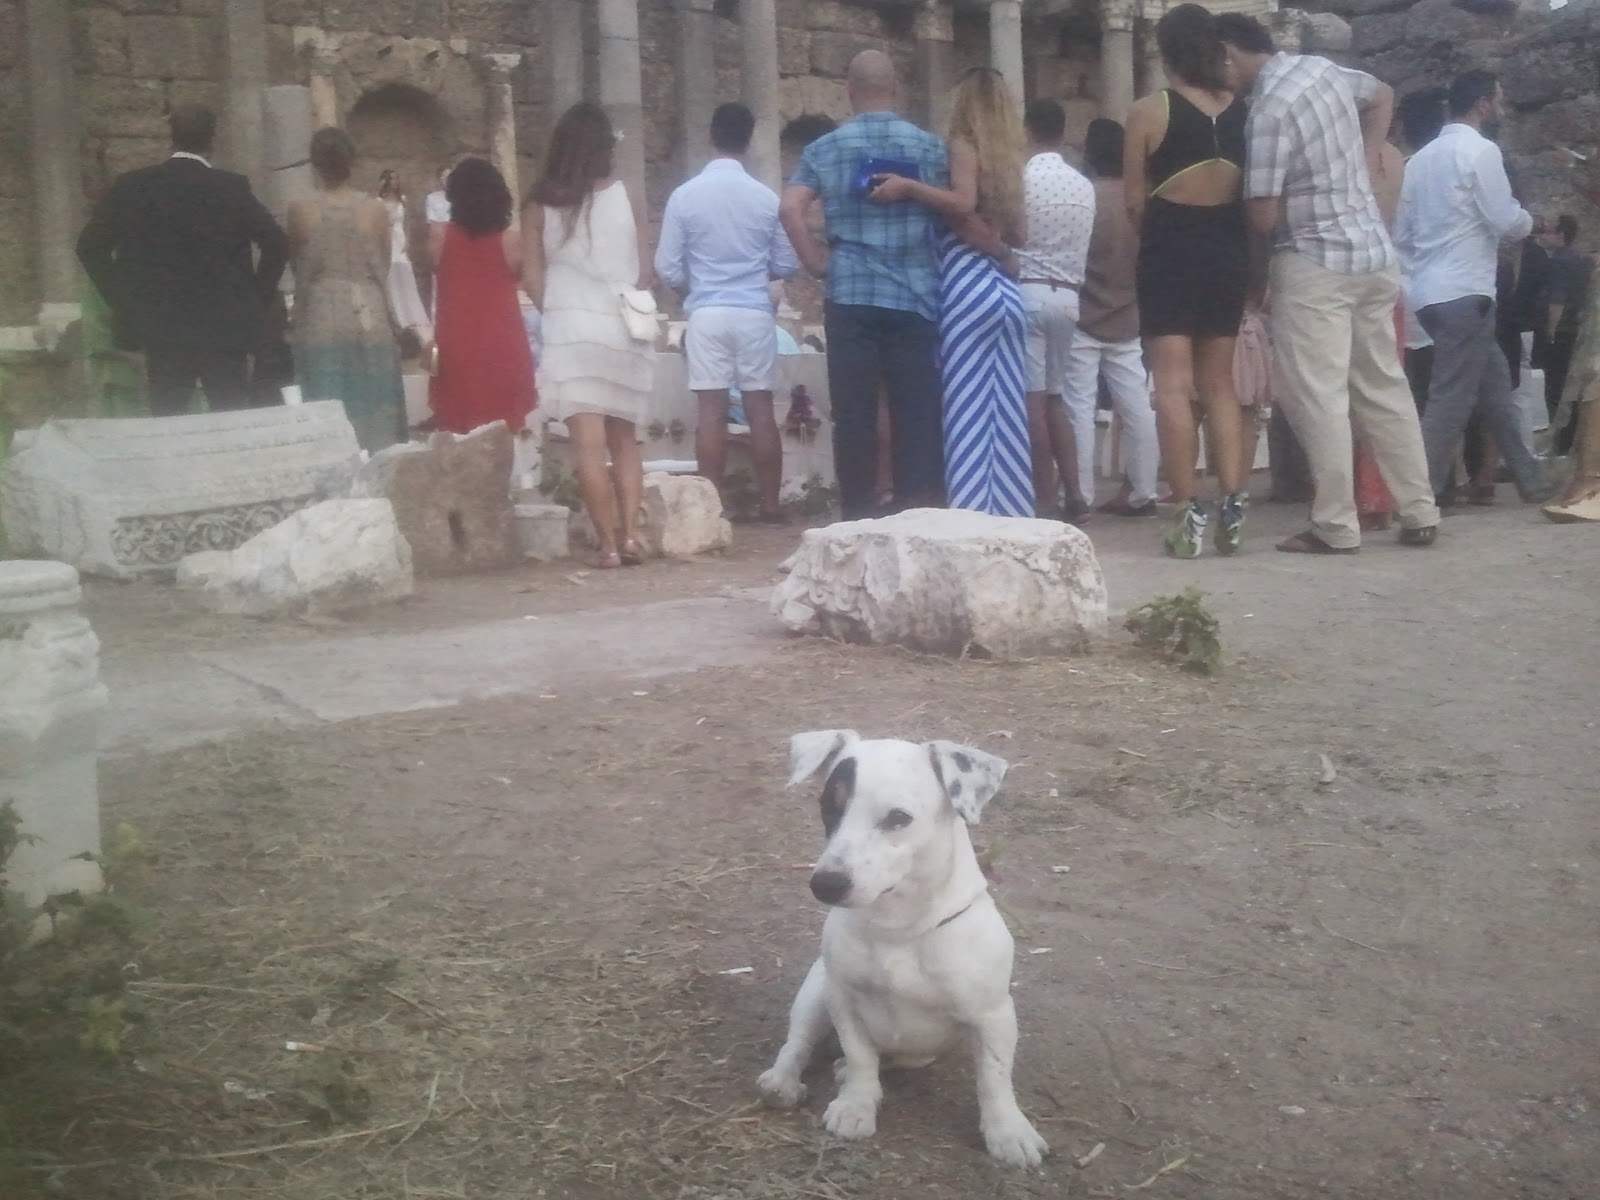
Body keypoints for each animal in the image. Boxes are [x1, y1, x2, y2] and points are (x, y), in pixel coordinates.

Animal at [756, 729, 1049, 1168]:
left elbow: (994, 1078)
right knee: (801, 1042)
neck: (897, 928)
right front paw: (856, 1106)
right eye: (828, 807)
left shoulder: (993, 1016)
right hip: (815, 991)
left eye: (898, 818)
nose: (825, 884)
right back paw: (783, 1080)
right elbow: (861, 1056)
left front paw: (1008, 1131)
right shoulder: (843, 1000)